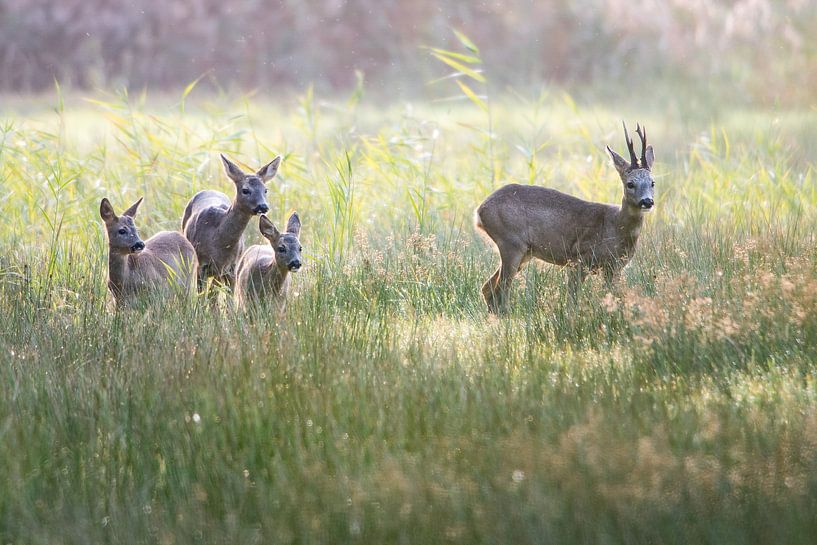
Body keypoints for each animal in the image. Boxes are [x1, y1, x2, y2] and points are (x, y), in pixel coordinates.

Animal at [472, 122, 656, 310]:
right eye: (630, 184)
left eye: (652, 182)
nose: (647, 201)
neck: (615, 227)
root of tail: (480, 210)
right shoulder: (579, 257)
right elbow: (571, 300)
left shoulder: (614, 268)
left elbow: (614, 297)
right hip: (511, 243)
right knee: (500, 289)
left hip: (523, 252)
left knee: (488, 288)